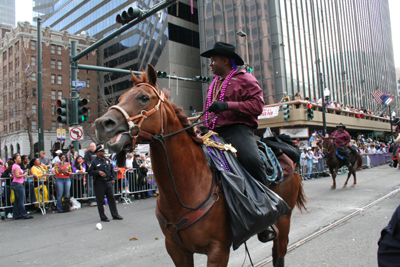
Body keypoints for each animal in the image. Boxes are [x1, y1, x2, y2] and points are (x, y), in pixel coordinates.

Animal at [94, 65, 306, 267]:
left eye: (143, 97)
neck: (185, 188)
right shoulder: (177, 249)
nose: (102, 123)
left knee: (280, 250)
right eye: (120, 97)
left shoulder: (218, 250)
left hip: (284, 219)